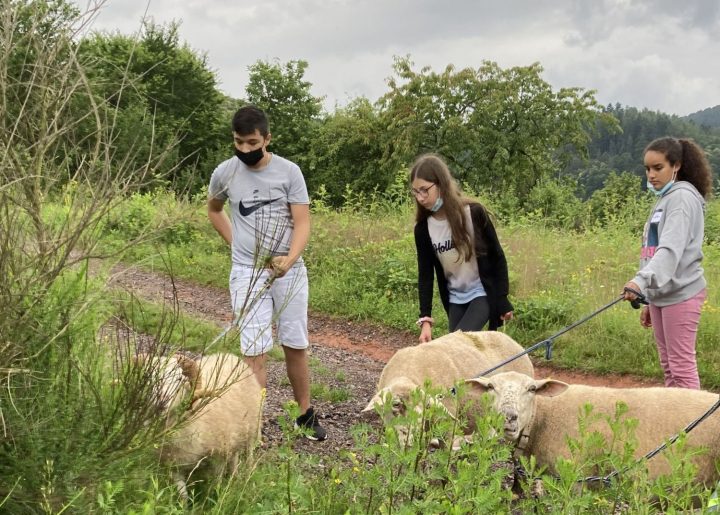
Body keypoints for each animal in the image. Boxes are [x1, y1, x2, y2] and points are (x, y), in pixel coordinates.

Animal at [142, 352, 262, 498]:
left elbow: (214, 485)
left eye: (179, 379)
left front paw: (214, 498)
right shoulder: (174, 464)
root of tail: (229, 355)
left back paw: (246, 476)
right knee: (234, 455)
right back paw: (234, 477)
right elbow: (183, 495)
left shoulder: (218, 457)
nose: (160, 402)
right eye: (149, 379)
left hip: (252, 426)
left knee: (248, 453)